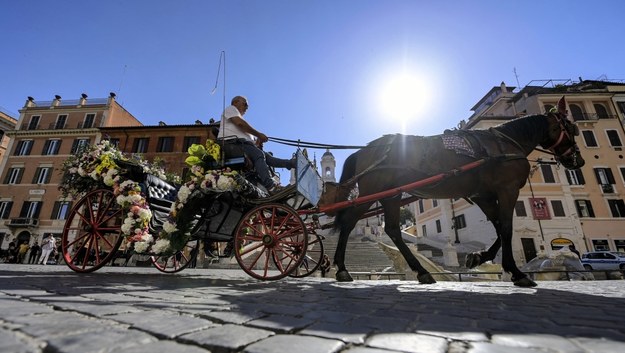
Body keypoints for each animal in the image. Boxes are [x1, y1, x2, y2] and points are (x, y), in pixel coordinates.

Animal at [320, 95, 584, 286]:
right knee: (349, 222)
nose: (578, 161)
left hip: (391, 195)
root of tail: (364, 149)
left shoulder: (484, 195)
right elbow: (507, 228)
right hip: (372, 192)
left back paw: (422, 272)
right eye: (571, 128)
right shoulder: (507, 190)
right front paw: (517, 273)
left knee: (392, 230)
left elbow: (500, 228)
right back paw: (342, 269)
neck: (505, 144)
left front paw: (478, 257)